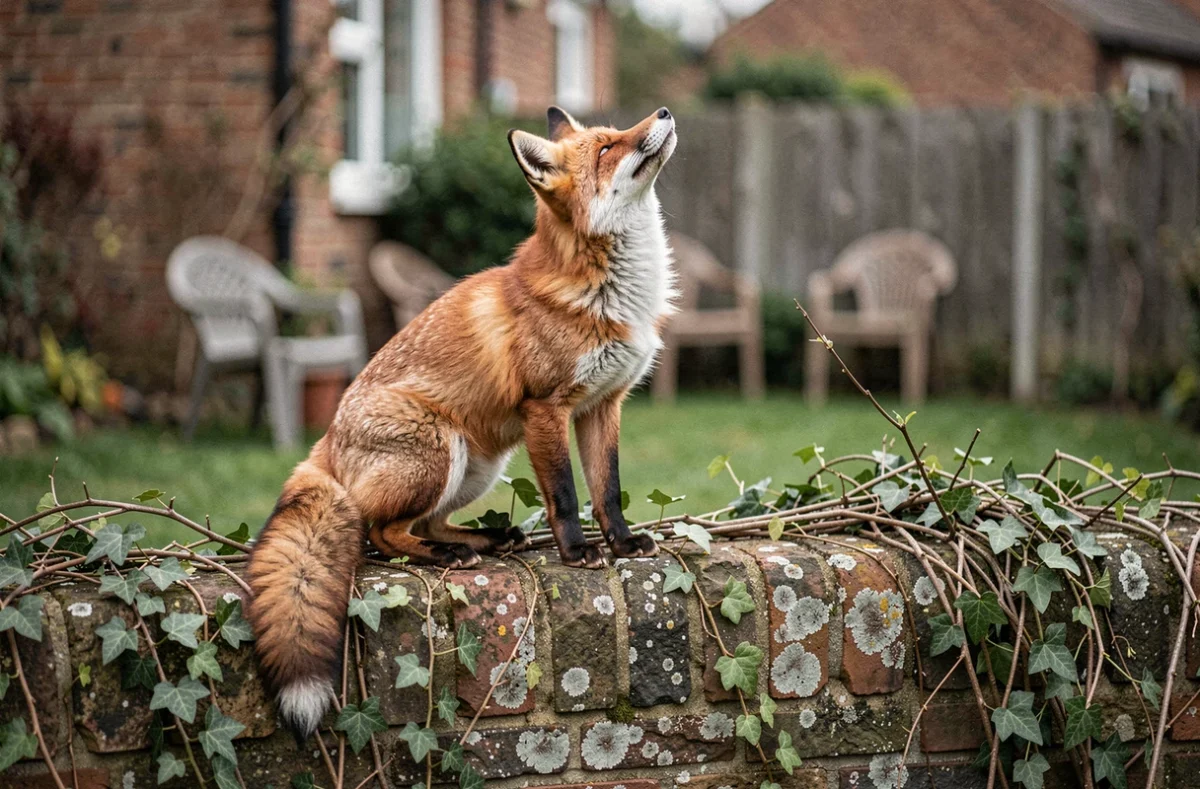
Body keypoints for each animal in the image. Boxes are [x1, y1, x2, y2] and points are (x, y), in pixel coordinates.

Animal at [246, 106, 679, 740]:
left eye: (617, 133)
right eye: (606, 149)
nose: (665, 113)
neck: (608, 290)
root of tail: (324, 442)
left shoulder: (604, 405)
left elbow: (608, 490)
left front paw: (622, 545)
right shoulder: (545, 408)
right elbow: (566, 495)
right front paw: (578, 554)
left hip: (480, 466)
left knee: (425, 524)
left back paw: (487, 539)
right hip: (438, 450)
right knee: (380, 535)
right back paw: (451, 557)